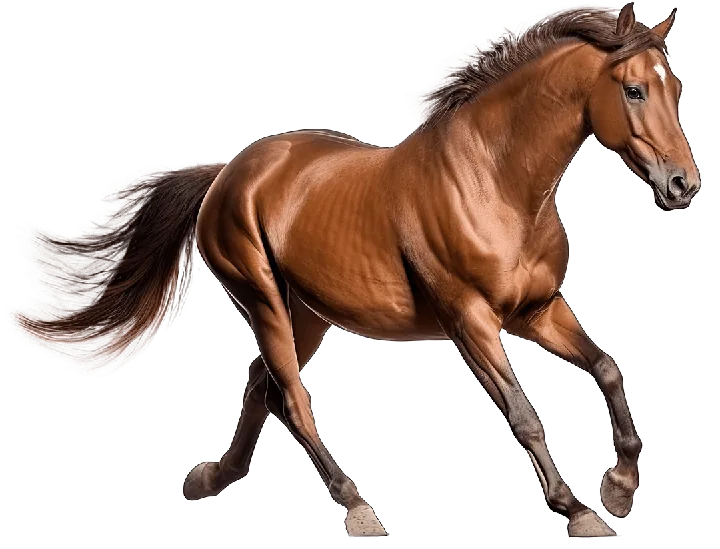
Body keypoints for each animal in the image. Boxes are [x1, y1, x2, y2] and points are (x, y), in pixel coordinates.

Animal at [9, 3, 700, 538]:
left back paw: (210, 479)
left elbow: (606, 367)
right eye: (634, 90)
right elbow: (523, 413)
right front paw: (578, 511)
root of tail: (227, 173)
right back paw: (356, 508)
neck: (496, 180)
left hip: (307, 313)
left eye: (675, 88)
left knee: (264, 393)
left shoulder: (536, 310)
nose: (683, 185)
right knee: (291, 397)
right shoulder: (470, 320)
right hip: (264, 300)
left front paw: (619, 489)